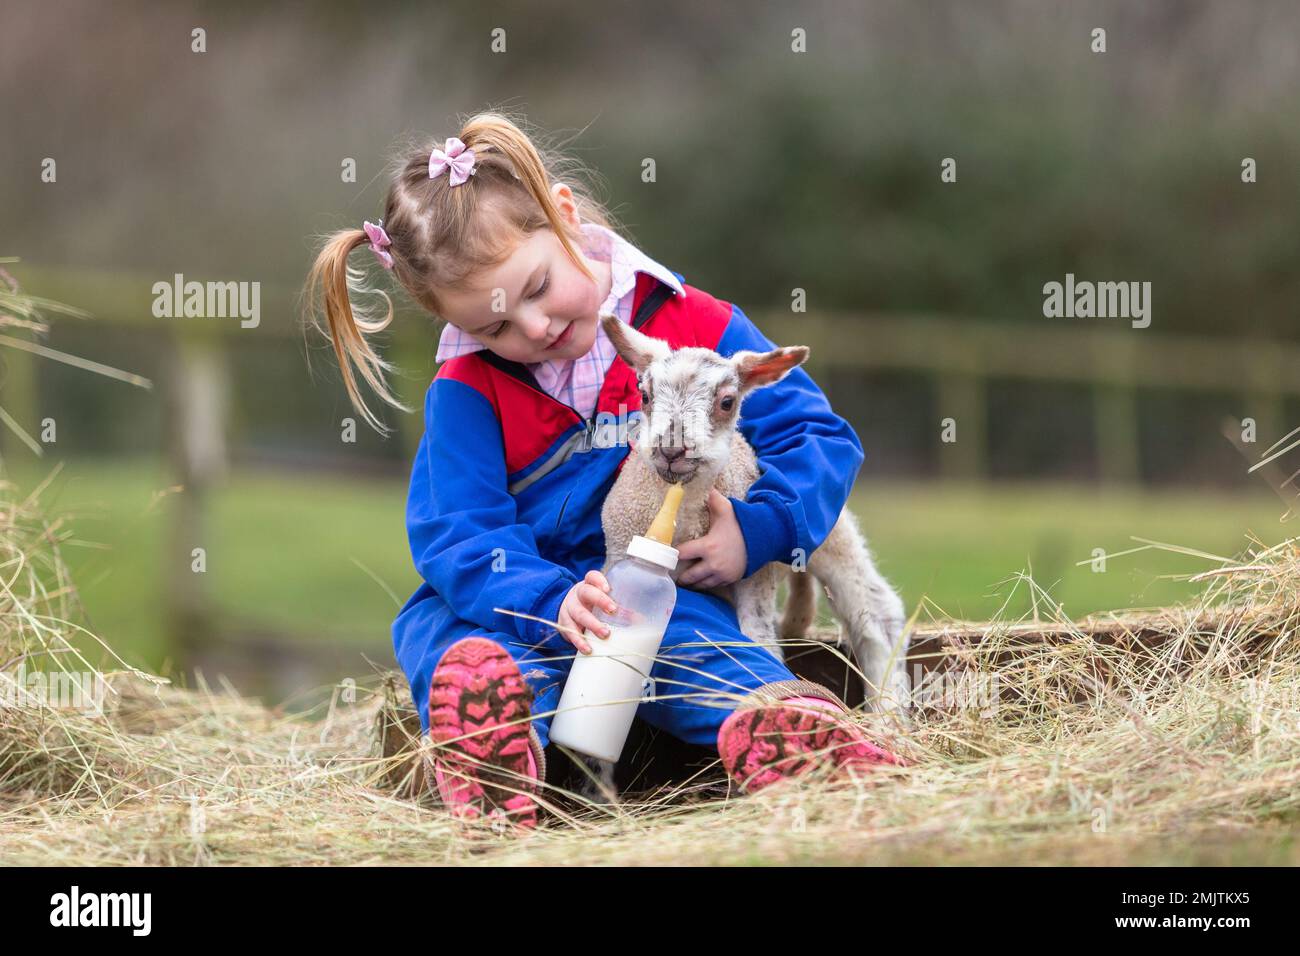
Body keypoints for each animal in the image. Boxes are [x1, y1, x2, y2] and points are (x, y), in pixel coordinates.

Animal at [574, 314, 909, 801]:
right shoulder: (617, 552)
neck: (680, 524)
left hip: (826, 530)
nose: (671, 450)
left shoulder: (753, 576)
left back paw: (889, 720)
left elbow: (758, 643)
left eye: (727, 402)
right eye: (645, 394)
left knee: (875, 612)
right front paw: (599, 793)